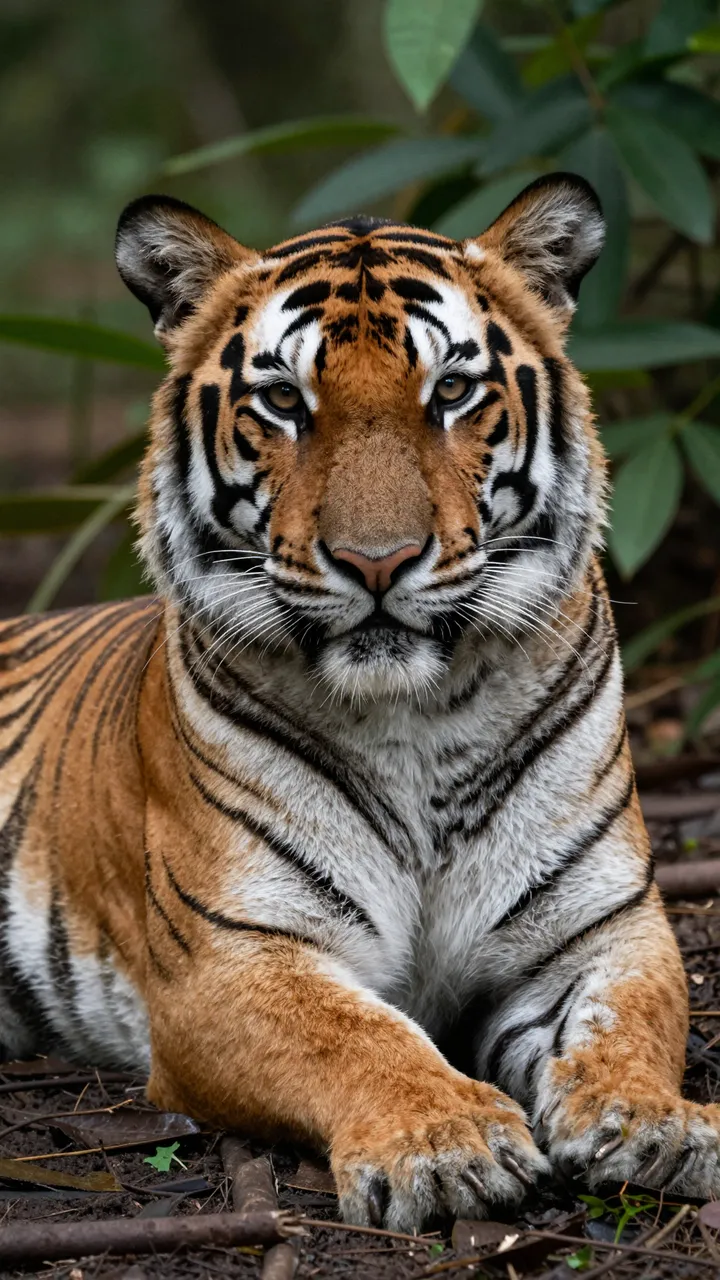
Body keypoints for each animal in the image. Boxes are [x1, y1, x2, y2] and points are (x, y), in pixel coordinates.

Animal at [0, 173, 715, 1233]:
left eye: (451, 391)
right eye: (283, 402)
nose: (377, 561)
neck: (417, 719)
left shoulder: (604, 927)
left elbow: (628, 1024)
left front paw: (656, 1123)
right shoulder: (235, 956)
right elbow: (356, 1036)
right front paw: (446, 1144)